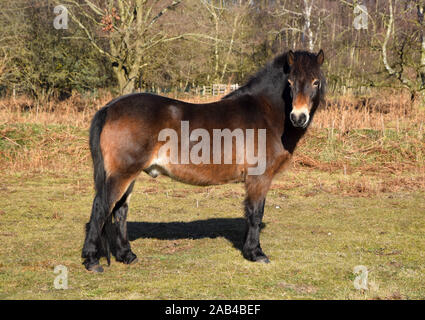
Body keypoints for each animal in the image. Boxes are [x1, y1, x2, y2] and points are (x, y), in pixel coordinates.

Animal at [82, 50, 324, 272]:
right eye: (290, 82)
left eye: (316, 81)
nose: (298, 117)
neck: (265, 113)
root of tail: (110, 107)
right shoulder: (259, 178)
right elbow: (255, 213)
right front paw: (256, 253)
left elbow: (248, 213)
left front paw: (248, 249)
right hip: (122, 174)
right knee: (101, 207)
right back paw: (92, 260)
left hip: (128, 175)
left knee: (120, 211)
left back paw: (127, 255)